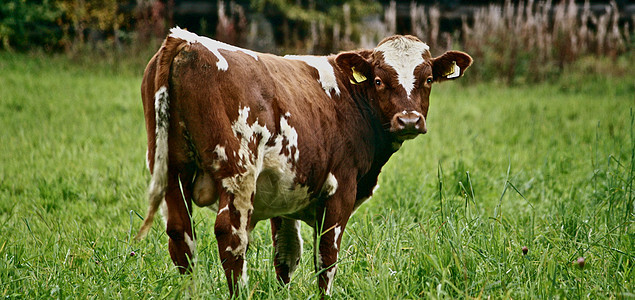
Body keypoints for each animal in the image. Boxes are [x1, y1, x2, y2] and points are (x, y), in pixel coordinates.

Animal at [135, 26, 472, 298]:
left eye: (428, 79)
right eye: (378, 80)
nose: (409, 120)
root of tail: (185, 40)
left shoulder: (285, 194)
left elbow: (286, 255)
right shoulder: (339, 189)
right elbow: (326, 257)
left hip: (171, 170)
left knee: (181, 235)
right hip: (238, 170)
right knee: (231, 235)